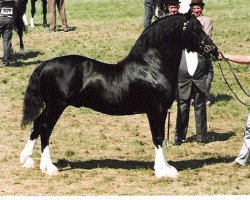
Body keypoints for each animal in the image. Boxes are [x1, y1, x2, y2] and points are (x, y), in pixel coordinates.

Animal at [20, 13, 219, 177]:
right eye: (195, 29)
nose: (214, 50)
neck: (152, 67)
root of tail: (45, 64)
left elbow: (160, 138)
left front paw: (167, 167)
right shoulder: (156, 110)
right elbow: (158, 137)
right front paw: (163, 171)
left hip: (52, 106)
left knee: (38, 125)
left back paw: (30, 161)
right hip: (56, 106)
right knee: (45, 128)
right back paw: (48, 167)